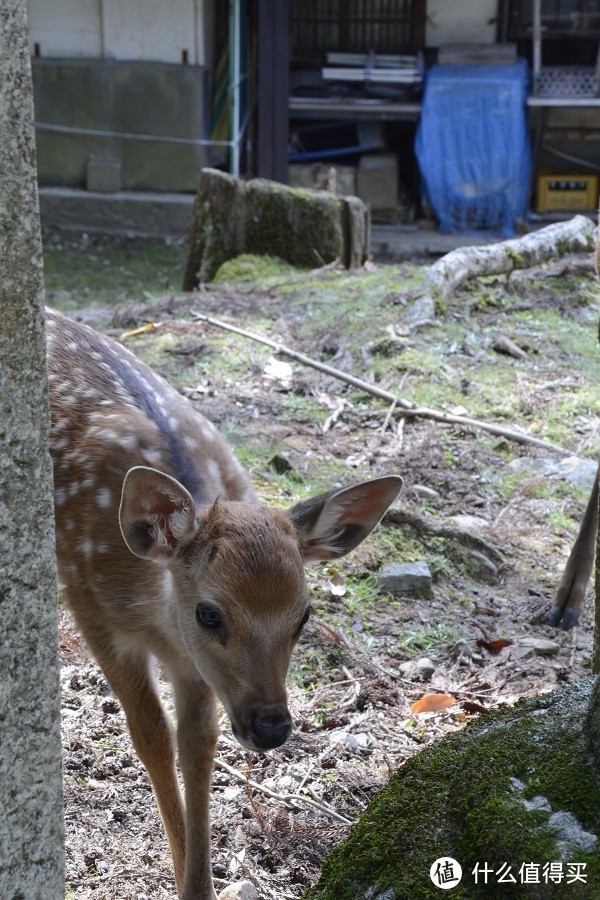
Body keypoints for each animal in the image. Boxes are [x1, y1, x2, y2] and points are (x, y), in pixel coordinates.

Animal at [45, 306, 404, 896]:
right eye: (209, 613)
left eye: (304, 616)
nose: (272, 726)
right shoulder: (92, 609)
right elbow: (150, 736)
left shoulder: (195, 664)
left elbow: (198, 744)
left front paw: (200, 885)